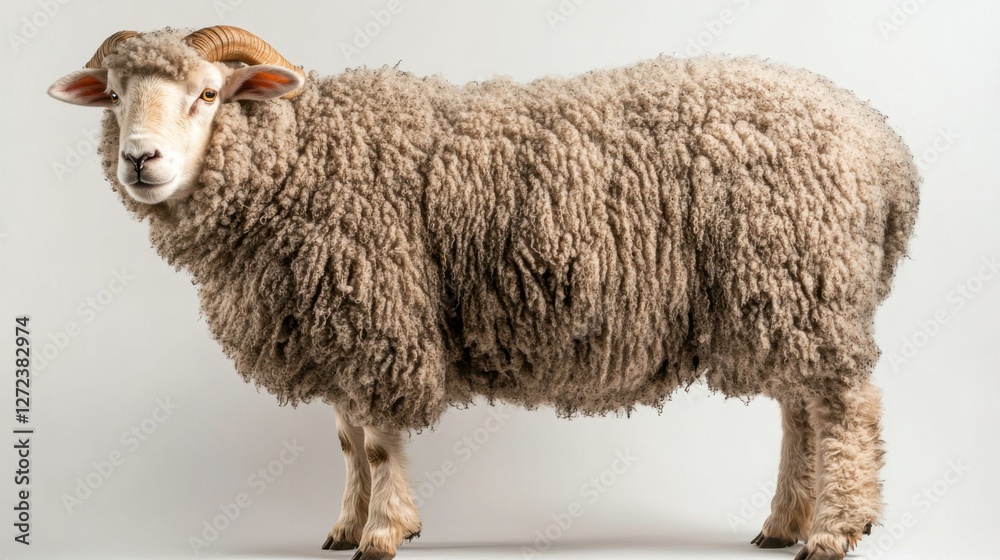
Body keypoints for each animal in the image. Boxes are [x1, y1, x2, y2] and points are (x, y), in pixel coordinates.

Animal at [48, 25, 919, 560]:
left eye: (208, 94)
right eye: (116, 95)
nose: (140, 160)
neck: (301, 159)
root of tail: (883, 147)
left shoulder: (380, 316)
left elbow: (375, 440)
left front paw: (384, 533)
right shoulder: (337, 322)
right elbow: (346, 440)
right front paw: (344, 527)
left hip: (801, 278)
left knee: (847, 410)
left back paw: (835, 531)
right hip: (786, 293)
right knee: (802, 410)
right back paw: (785, 522)